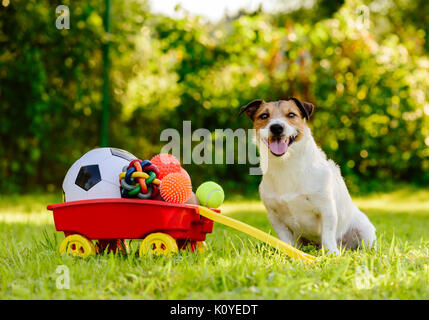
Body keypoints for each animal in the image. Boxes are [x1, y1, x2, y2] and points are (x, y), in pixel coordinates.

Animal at [239, 98, 376, 255]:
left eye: (291, 114)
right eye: (264, 116)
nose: (276, 127)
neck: (286, 165)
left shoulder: (327, 209)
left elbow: (327, 235)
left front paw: (331, 254)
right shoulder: (275, 217)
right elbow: (286, 240)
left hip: (364, 230)